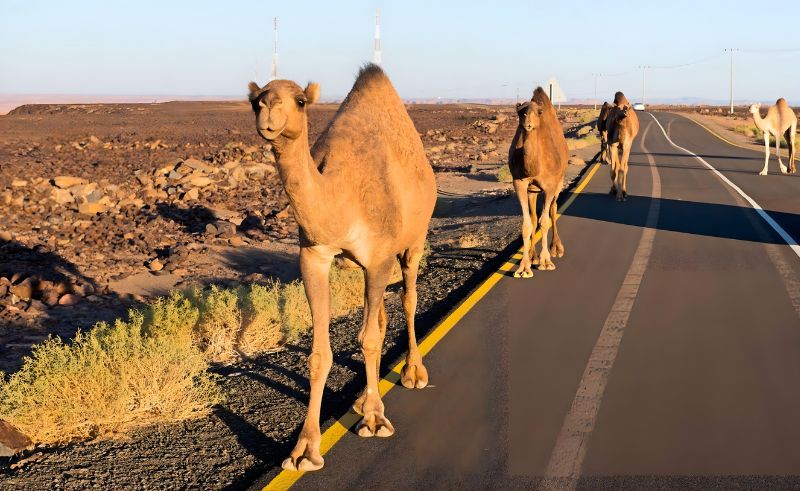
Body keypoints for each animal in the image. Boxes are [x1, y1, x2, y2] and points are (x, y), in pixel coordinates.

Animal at [248, 64, 436, 471]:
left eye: (300, 100)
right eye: (255, 99)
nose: (268, 113)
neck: (340, 196)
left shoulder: (379, 257)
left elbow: (369, 339)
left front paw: (376, 421)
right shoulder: (313, 257)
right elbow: (321, 354)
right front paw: (304, 450)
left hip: (414, 240)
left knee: (408, 299)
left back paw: (412, 373)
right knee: (381, 317)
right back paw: (364, 398)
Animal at [507, 88, 568, 278]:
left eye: (539, 112)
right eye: (521, 111)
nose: (527, 124)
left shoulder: (550, 186)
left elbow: (545, 221)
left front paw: (546, 262)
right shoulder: (519, 183)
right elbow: (528, 223)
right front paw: (524, 268)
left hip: (559, 183)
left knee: (553, 209)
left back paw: (556, 249)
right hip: (532, 191)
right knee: (534, 218)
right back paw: (533, 257)